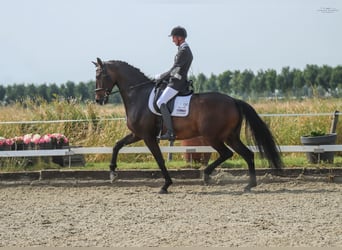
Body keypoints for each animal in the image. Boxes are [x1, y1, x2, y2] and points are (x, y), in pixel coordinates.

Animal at [93, 58, 284, 193]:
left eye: (100, 75)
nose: (98, 99)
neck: (138, 95)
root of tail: (233, 100)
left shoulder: (147, 137)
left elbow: (159, 159)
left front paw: (166, 185)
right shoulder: (137, 134)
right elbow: (117, 145)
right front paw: (113, 174)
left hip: (213, 137)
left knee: (227, 153)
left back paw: (207, 176)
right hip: (230, 136)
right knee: (247, 154)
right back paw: (249, 185)